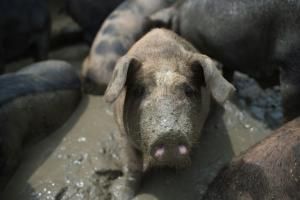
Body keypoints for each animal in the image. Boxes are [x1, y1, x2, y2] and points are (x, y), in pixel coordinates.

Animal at [104, 28, 236, 200]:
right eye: (139, 91)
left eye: (188, 91)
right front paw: (121, 195)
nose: (169, 135)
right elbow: (132, 165)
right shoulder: (122, 133)